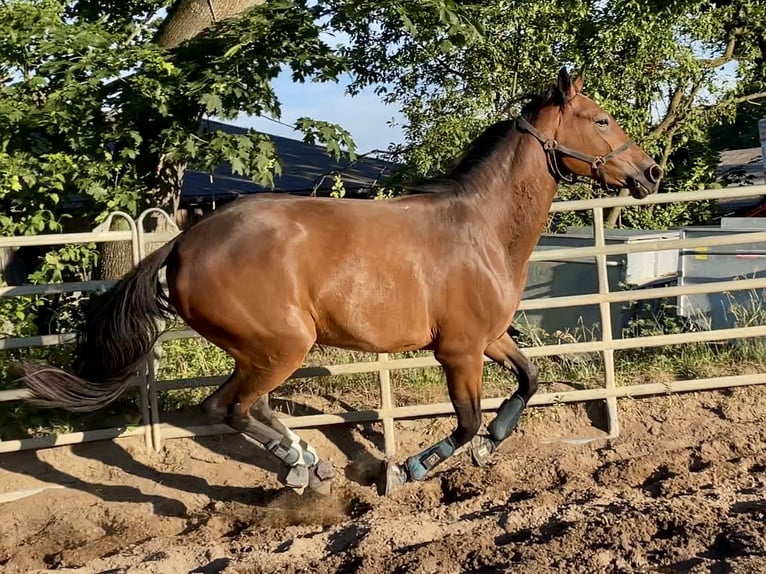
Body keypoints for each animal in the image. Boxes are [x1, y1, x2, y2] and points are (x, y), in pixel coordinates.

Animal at [21, 70, 664, 498]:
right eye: (601, 119)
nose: (650, 171)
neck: (479, 228)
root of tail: (182, 243)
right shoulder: (459, 351)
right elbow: (465, 420)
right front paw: (410, 469)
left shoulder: (488, 337)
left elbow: (529, 382)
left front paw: (489, 445)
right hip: (280, 345)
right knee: (227, 407)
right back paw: (302, 466)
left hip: (259, 350)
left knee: (243, 407)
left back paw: (310, 462)